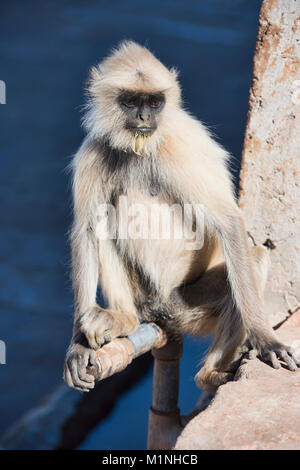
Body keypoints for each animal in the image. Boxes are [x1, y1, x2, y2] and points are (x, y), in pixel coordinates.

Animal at [62, 41, 298, 392]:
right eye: (130, 101)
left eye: (154, 102)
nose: (144, 116)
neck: (141, 149)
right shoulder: (95, 150)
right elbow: (86, 231)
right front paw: (77, 344)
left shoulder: (181, 145)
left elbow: (228, 222)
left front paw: (264, 337)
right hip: (145, 295)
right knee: (104, 220)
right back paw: (125, 318)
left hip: (186, 303)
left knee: (254, 257)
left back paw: (210, 373)